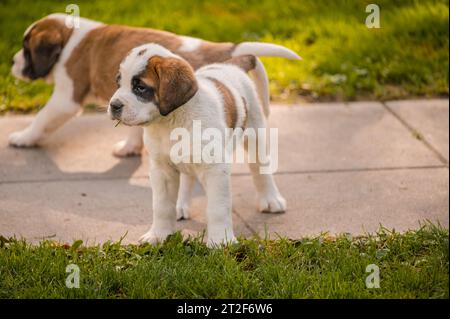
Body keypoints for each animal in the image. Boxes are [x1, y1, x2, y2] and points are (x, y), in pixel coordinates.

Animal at [8, 13, 300, 158]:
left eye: (27, 49)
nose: (12, 61)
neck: (71, 37)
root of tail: (217, 48)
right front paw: (131, 146)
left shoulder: (66, 98)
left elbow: (42, 119)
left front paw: (23, 137)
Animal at [107, 43, 286, 246]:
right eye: (118, 83)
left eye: (140, 88)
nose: (114, 105)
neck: (172, 120)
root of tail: (232, 65)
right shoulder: (162, 170)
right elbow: (161, 206)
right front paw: (158, 235)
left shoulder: (215, 168)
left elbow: (218, 207)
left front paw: (221, 241)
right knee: (187, 179)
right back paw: (180, 206)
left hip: (256, 133)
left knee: (260, 170)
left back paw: (271, 199)